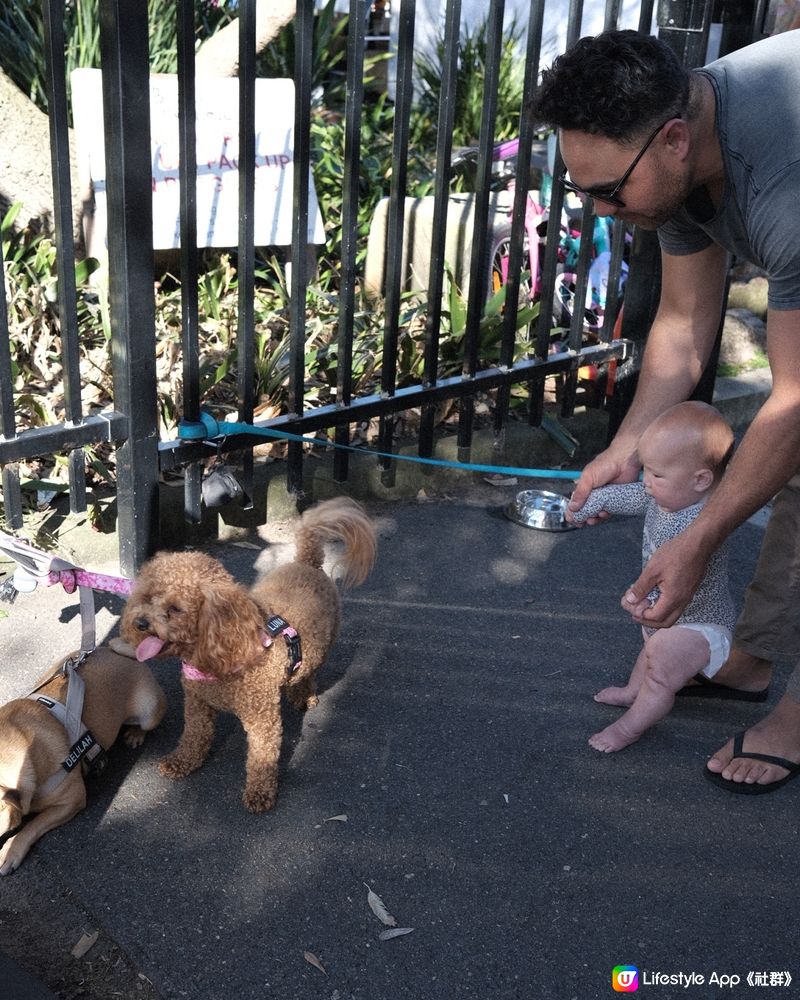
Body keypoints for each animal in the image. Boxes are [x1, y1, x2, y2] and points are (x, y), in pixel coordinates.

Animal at [0, 648, 166, 876]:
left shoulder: (71, 801)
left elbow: (32, 826)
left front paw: (10, 852)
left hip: (148, 709)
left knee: (145, 724)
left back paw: (135, 734)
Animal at [120, 498, 376, 812]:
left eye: (176, 609)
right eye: (146, 598)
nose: (140, 623)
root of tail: (306, 562)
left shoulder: (262, 717)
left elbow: (262, 757)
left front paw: (259, 792)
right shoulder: (197, 704)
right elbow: (194, 735)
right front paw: (182, 762)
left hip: (323, 645)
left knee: (308, 673)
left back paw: (304, 695)